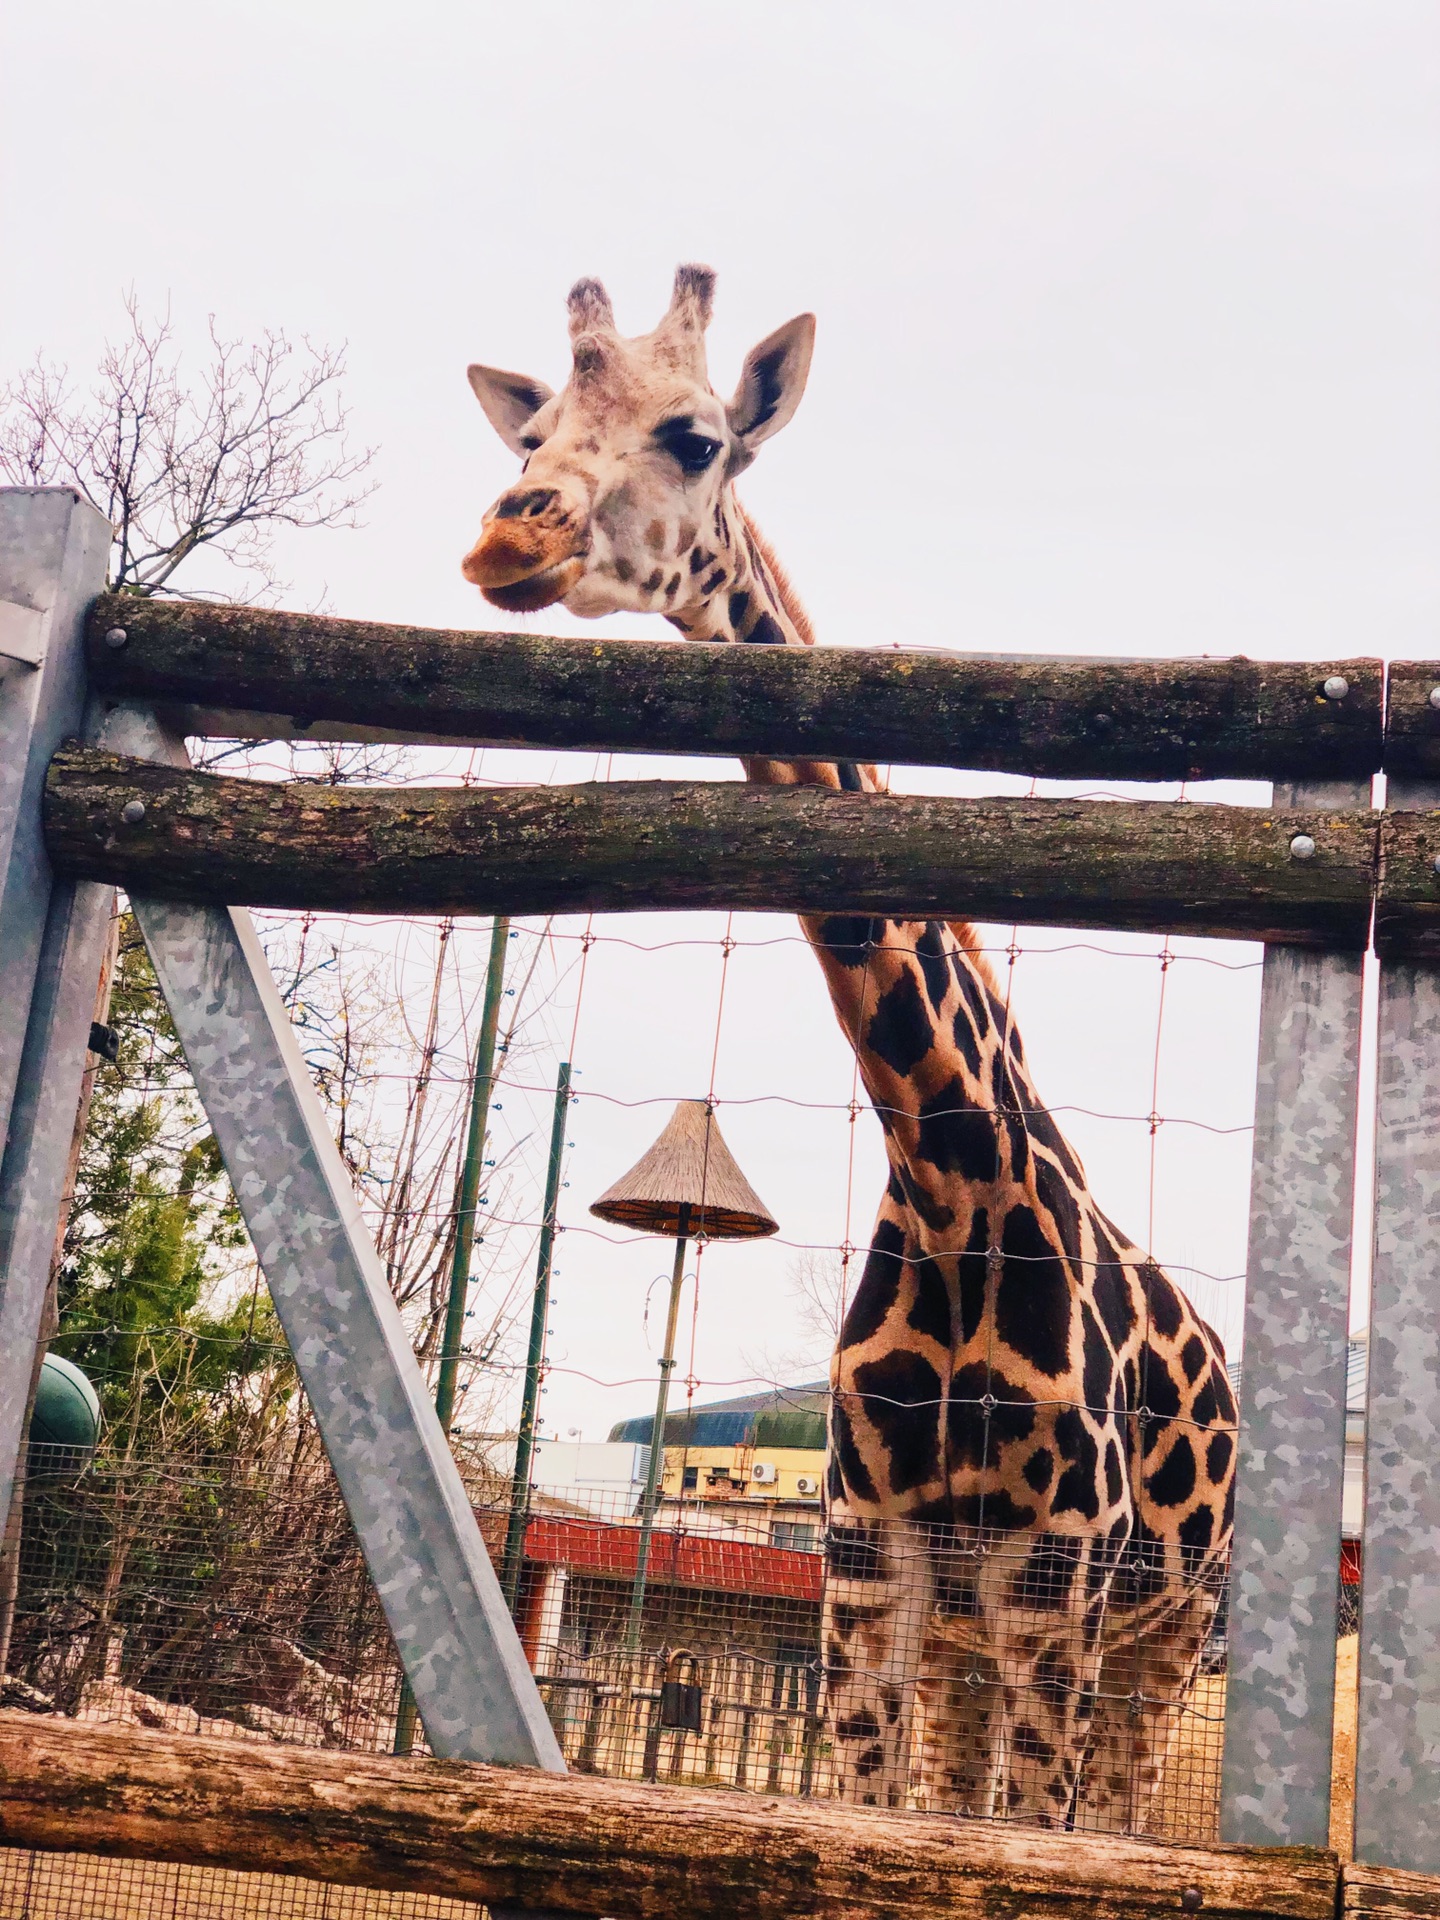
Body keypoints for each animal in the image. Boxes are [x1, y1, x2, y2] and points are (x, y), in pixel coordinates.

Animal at [462, 266, 1244, 1827]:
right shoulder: (873, 1583)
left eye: (696, 436)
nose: (512, 533)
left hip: (1169, 1636)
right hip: (976, 1649)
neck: (949, 1182)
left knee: (1124, 1814)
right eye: (531, 435)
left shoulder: (1052, 1589)